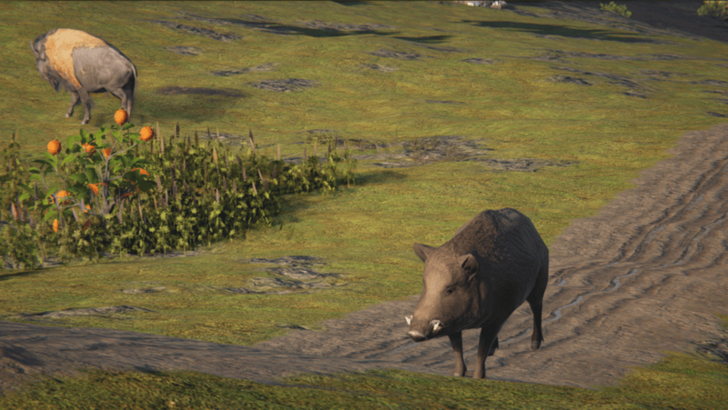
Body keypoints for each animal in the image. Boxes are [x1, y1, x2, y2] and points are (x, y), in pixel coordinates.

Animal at [406, 208, 549, 379]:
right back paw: (494, 351)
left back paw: (535, 345)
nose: (414, 332)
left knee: (537, 307)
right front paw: (458, 374)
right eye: (424, 284)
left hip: (540, 280)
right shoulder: (450, 319)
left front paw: (478, 377)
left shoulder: (499, 316)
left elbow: (482, 348)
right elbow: (457, 347)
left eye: (450, 289)